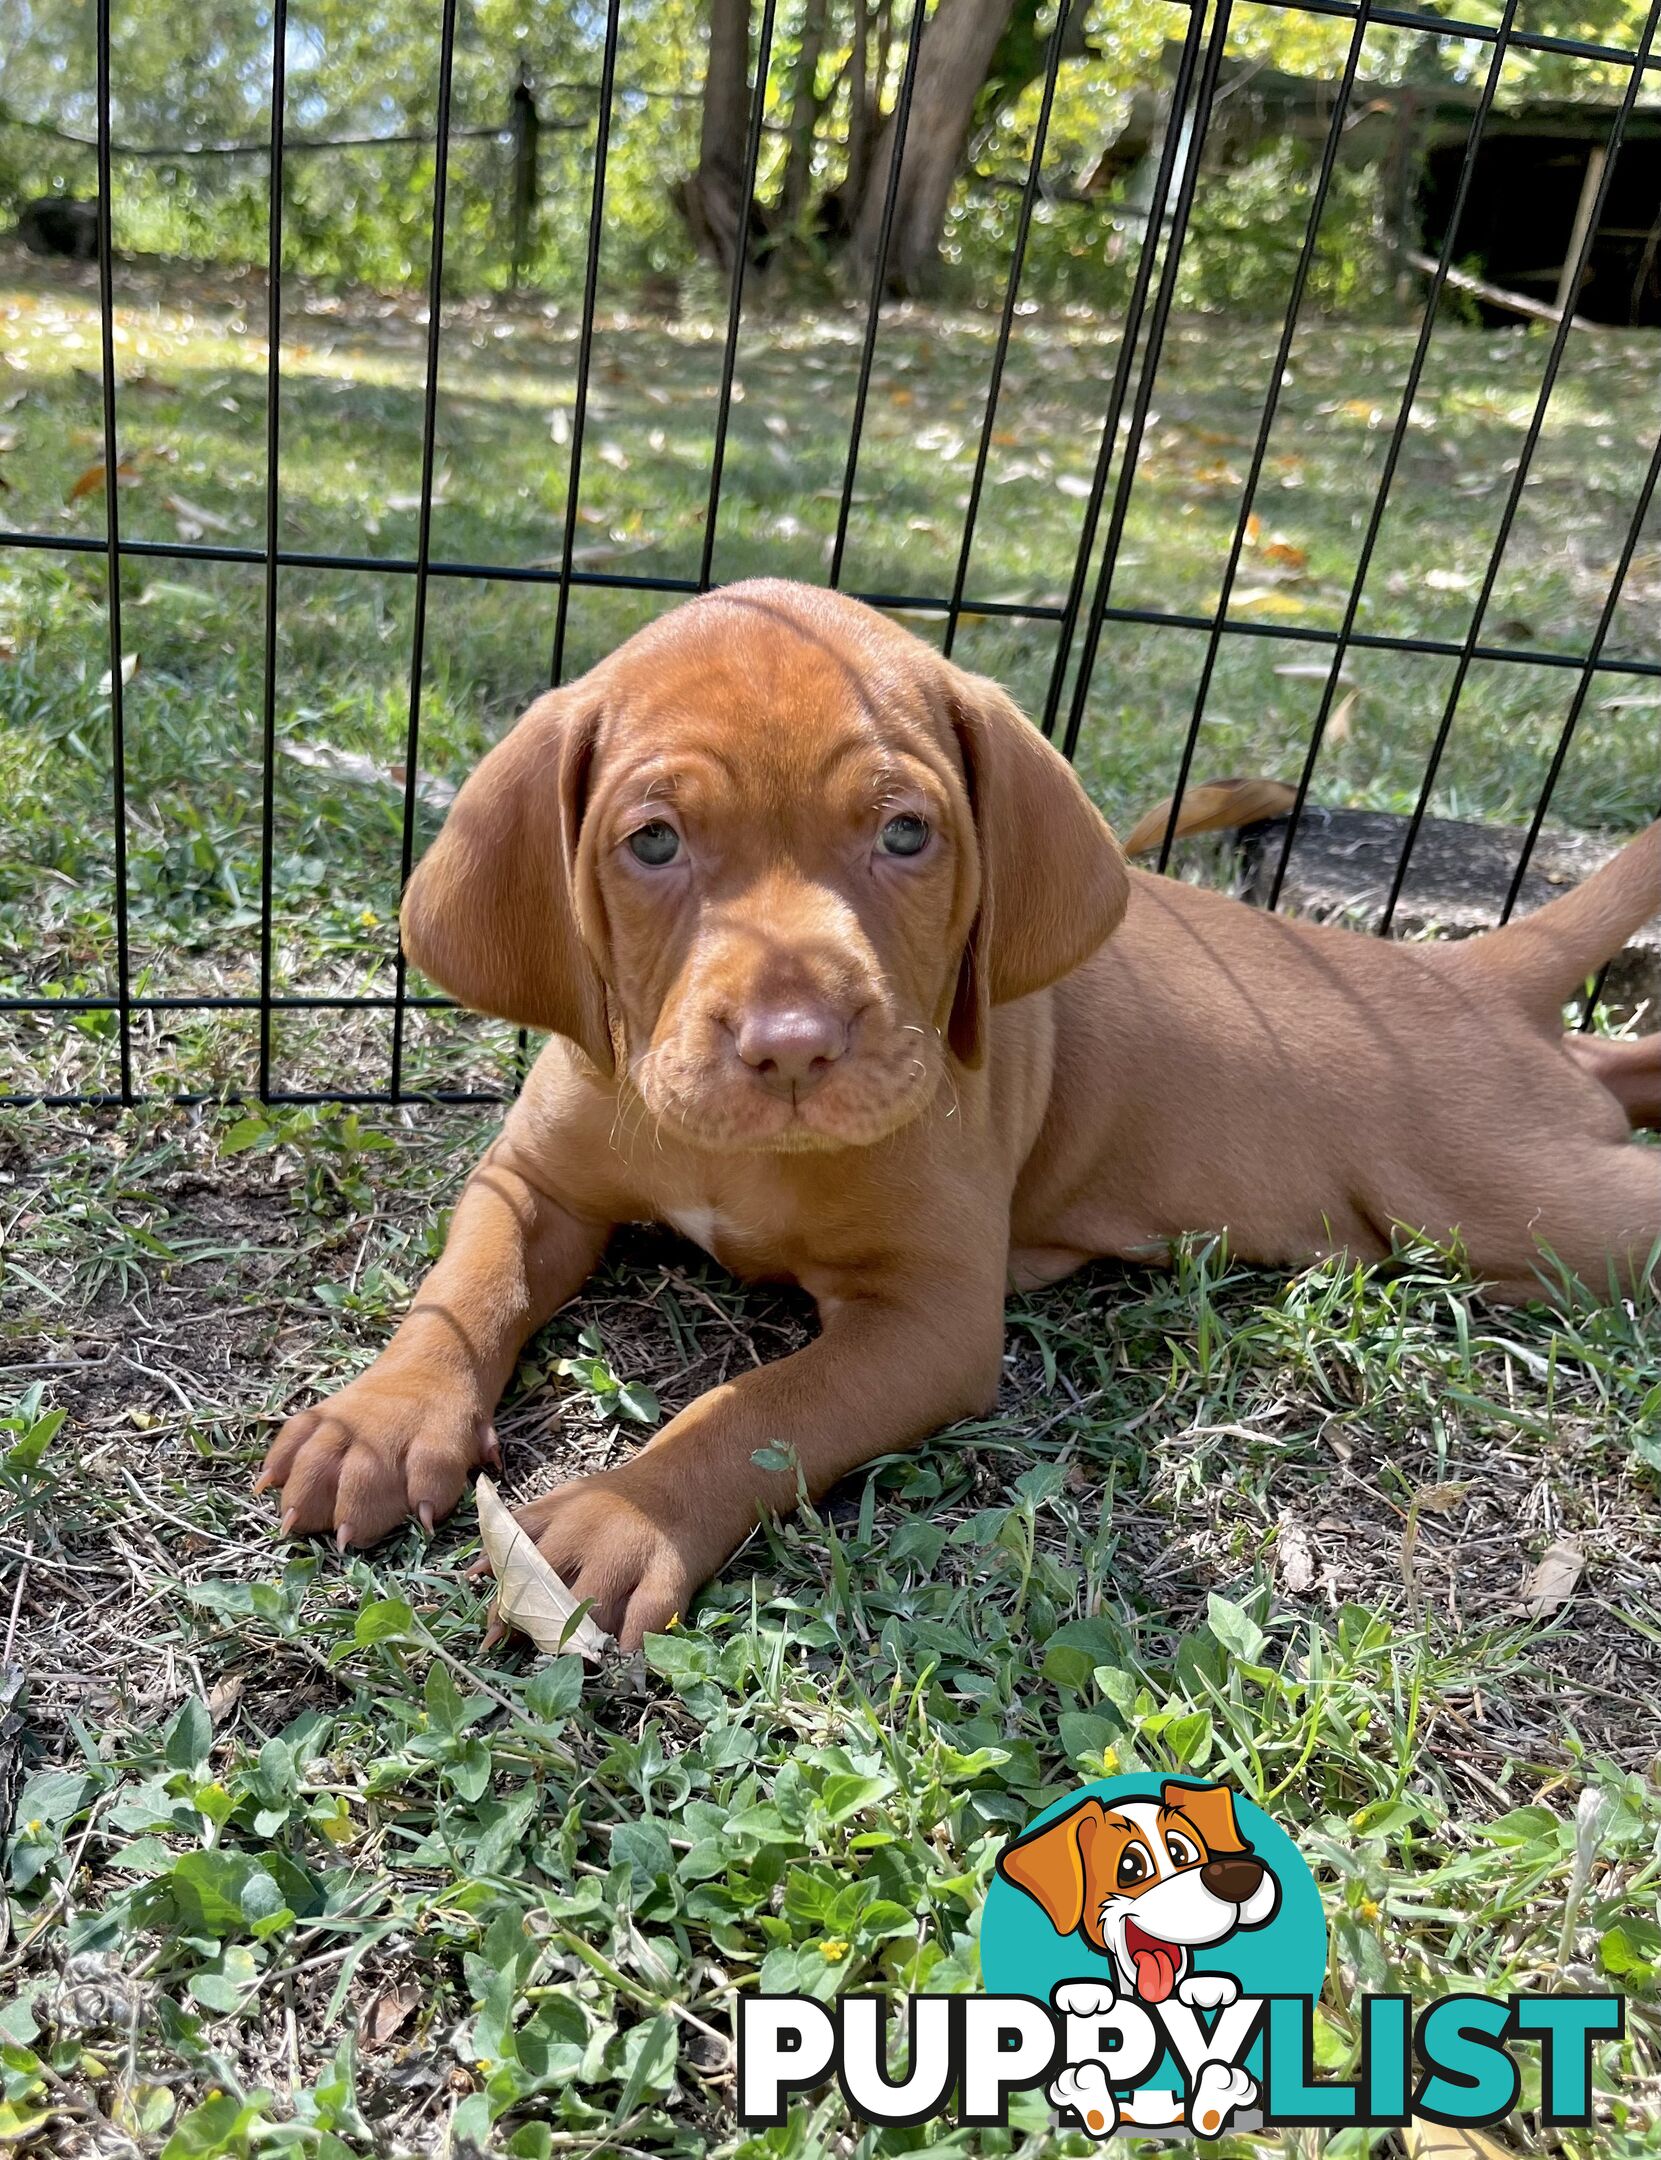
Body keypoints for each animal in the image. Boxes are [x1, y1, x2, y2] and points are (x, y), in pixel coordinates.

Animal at [255, 583, 1658, 1641]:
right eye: (651, 843)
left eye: (905, 834)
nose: (792, 1045)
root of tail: (1471, 973)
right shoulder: (534, 1182)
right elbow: (468, 1284)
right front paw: (383, 1417)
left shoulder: (927, 1324)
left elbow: (756, 1412)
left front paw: (623, 1515)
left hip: (1534, 1211)